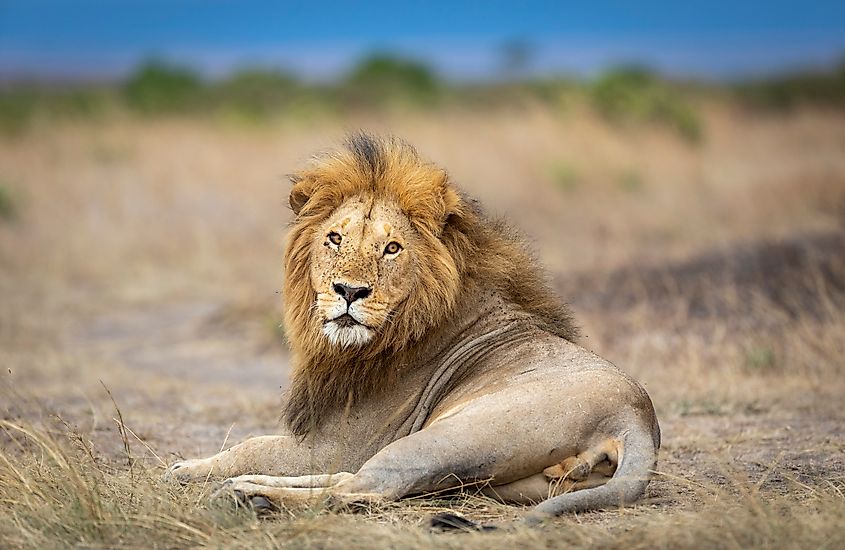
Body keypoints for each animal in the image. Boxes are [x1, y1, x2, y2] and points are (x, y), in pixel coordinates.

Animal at [167, 133, 660, 527]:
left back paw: (246, 496)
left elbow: (252, 443)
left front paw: (186, 468)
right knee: (356, 481)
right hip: (506, 482)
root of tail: (637, 417)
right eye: (334, 239)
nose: (349, 291)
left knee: (362, 488)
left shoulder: (343, 443)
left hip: (445, 438)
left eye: (391, 248)